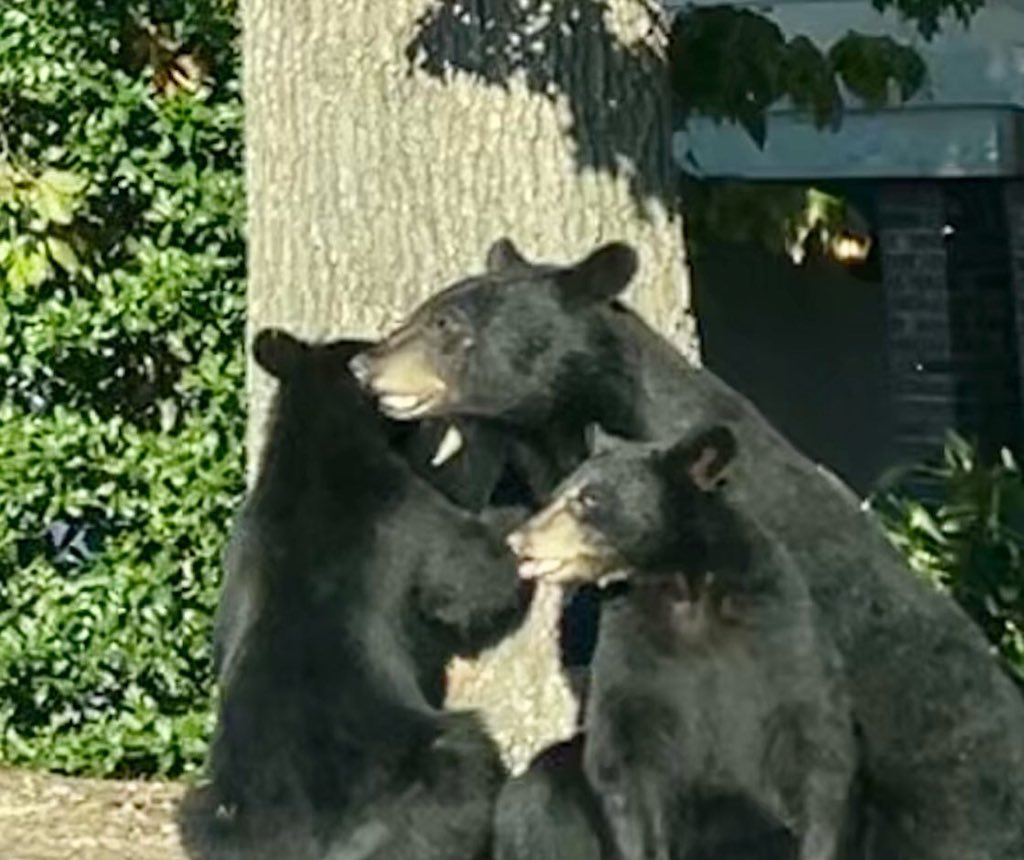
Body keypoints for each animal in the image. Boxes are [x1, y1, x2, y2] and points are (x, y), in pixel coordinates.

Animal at [181, 328, 529, 860]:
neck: (313, 448)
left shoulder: (241, 541)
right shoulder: (401, 510)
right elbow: (475, 577)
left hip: (218, 813)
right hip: (413, 777)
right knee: (463, 765)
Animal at [500, 423, 859, 860]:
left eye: (589, 498)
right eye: (557, 491)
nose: (518, 540)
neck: (686, 586)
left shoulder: (782, 630)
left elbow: (817, 745)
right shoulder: (632, 647)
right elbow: (626, 758)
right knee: (536, 795)